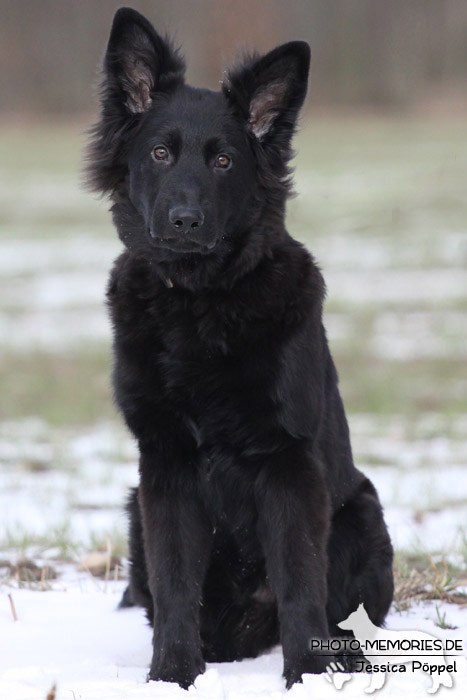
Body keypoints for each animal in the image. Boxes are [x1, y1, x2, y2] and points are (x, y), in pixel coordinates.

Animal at [86, 6, 394, 688]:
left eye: (224, 161)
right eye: (160, 153)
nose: (184, 220)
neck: (200, 302)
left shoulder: (287, 462)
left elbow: (300, 579)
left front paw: (307, 674)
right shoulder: (166, 466)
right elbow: (176, 584)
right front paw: (173, 675)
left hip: (363, 517)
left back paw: (342, 648)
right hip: (135, 510)